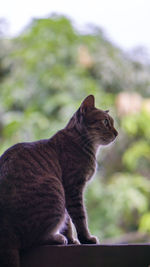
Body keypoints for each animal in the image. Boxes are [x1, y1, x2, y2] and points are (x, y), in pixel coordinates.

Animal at [0, 95, 117, 266]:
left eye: (112, 123)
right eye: (105, 122)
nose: (116, 133)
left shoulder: (68, 195)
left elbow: (67, 222)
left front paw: (72, 240)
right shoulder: (72, 188)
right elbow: (80, 218)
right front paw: (86, 239)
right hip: (55, 191)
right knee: (32, 240)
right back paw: (57, 238)